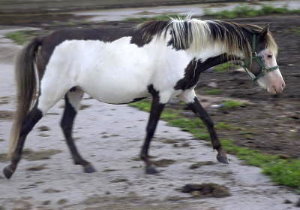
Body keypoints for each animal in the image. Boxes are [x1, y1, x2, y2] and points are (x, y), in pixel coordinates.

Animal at [2, 17, 284, 179]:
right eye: (268, 54)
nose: (279, 87)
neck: (186, 50)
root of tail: (45, 38)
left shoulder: (186, 93)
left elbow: (207, 119)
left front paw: (222, 155)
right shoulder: (162, 94)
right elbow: (151, 128)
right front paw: (148, 163)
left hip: (74, 92)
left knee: (66, 126)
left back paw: (85, 164)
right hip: (50, 93)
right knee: (27, 124)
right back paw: (10, 169)